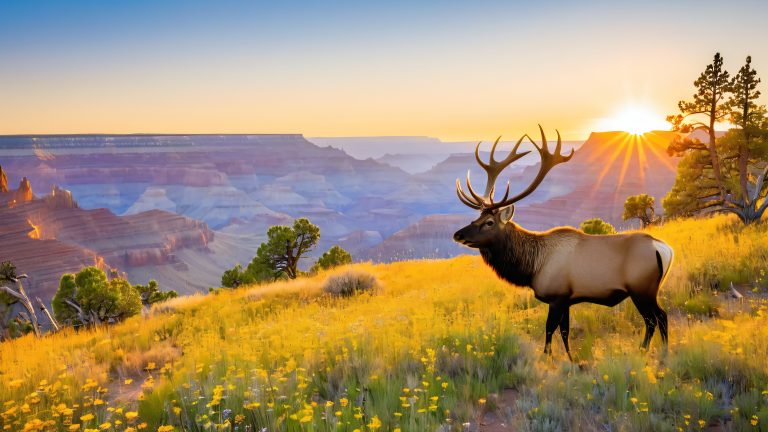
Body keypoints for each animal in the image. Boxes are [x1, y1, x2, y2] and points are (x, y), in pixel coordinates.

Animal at [453, 126, 673, 360]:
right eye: (476, 218)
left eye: (489, 222)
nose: (457, 235)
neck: (532, 267)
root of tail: (665, 249)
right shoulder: (567, 298)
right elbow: (565, 332)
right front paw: (571, 358)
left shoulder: (557, 296)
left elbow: (550, 329)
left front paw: (548, 357)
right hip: (649, 290)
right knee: (659, 317)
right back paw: (660, 351)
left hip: (642, 289)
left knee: (656, 318)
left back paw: (647, 350)